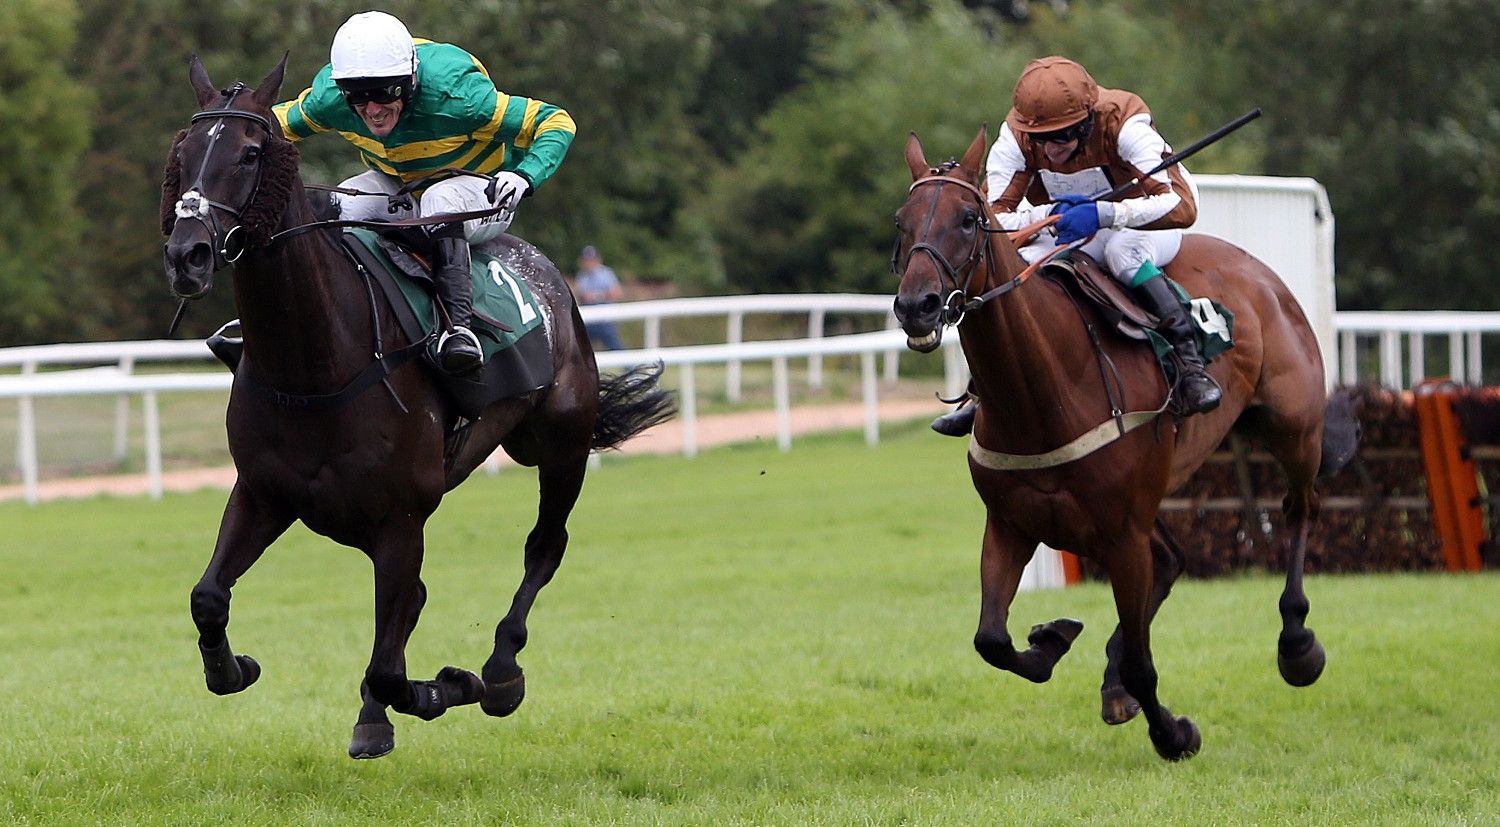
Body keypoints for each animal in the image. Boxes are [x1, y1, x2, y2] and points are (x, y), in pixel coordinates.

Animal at [161, 55, 672, 759]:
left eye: (249, 153)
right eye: (183, 152)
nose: (187, 254)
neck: (315, 364)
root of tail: (546, 273)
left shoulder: (401, 517)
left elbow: (390, 662)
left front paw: (445, 688)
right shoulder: (266, 492)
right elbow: (208, 596)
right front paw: (233, 667)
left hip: (560, 445)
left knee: (544, 547)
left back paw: (500, 672)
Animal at [888, 129, 1362, 762]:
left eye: (968, 219)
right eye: (902, 221)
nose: (915, 305)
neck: (1045, 389)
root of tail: (1258, 270)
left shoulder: (1120, 532)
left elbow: (1142, 662)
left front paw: (1173, 733)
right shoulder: (1012, 522)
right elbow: (991, 639)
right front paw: (1053, 639)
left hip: (1294, 426)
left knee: (1299, 510)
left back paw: (1297, 644)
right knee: (1172, 559)